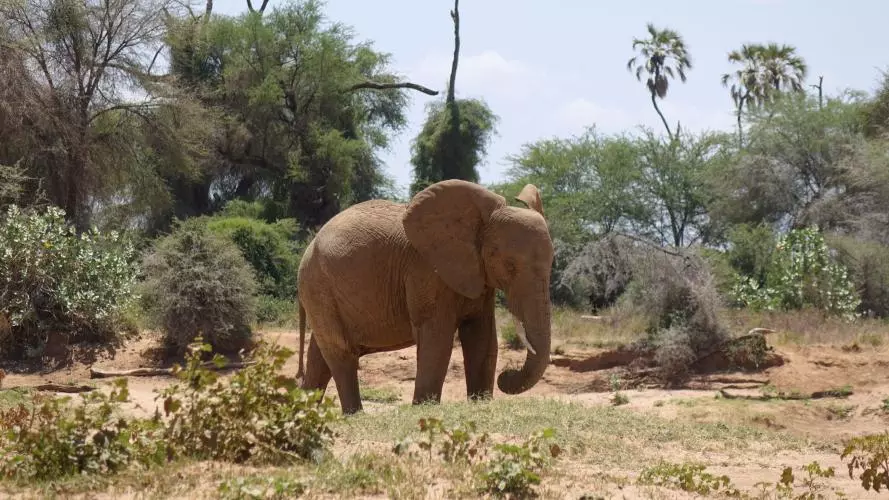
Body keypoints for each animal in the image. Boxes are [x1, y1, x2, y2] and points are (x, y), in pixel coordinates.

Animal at [295, 179, 554, 414]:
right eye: (509, 266)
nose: (506, 376)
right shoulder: (425, 270)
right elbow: (437, 335)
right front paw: (424, 408)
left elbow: (482, 335)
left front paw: (480, 403)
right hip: (318, 287)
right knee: (341, 352)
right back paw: (355, 415)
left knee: (319, 356)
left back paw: (303, 411)